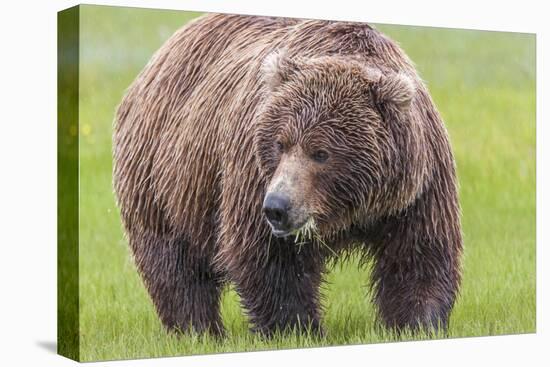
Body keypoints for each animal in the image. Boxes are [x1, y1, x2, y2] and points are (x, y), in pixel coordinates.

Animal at [114, 13, 464, 336]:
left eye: (321, 153)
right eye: (280, 143)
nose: (277, 207)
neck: (348, 211)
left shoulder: (416, 187)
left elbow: (418, 256)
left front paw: (417, 323)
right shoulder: (252, 176)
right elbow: (271, 260)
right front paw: (298, 328)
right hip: (165, 176)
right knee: (175, 263)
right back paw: (198, 329)